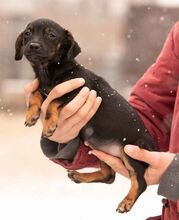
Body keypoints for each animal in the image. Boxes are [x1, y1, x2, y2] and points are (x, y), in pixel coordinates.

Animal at [14, 18, 156, 213]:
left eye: (51, 35)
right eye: (27, 34)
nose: (33, 45)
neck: (50, 73)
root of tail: (153, 146)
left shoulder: (78, 90)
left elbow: (53, 101)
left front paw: (49, 125)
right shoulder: (44, 88)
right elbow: (36, 93)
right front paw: (31, 115)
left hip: (131, 151)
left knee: (140, 182)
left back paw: (126, 202)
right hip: (100, 150)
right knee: (109, 176)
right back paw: (79, 176)